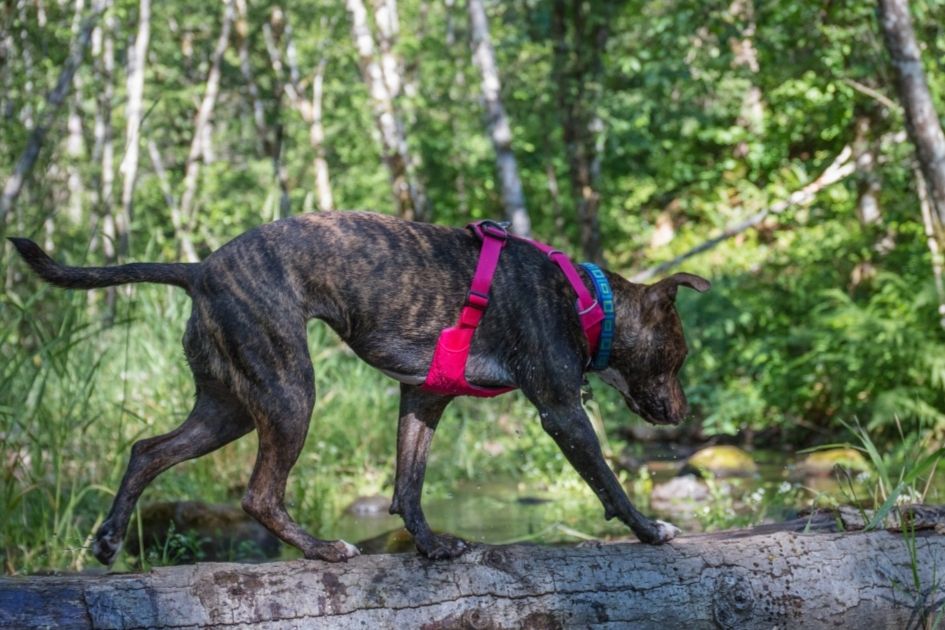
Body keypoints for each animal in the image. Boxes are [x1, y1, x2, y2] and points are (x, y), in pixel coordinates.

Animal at [9, 212, 708, 568]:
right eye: (678, 357)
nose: (681, 413)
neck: (591, 303)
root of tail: (199, 269)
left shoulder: (423, 401)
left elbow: (408, 486)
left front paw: (430, 546)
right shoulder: (562, 412)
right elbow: (609, 482)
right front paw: (650, 531)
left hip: (229, 407)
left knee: (147, 450)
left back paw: (108, 538)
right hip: (289, 390)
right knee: (259, 495)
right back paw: (322, 549)